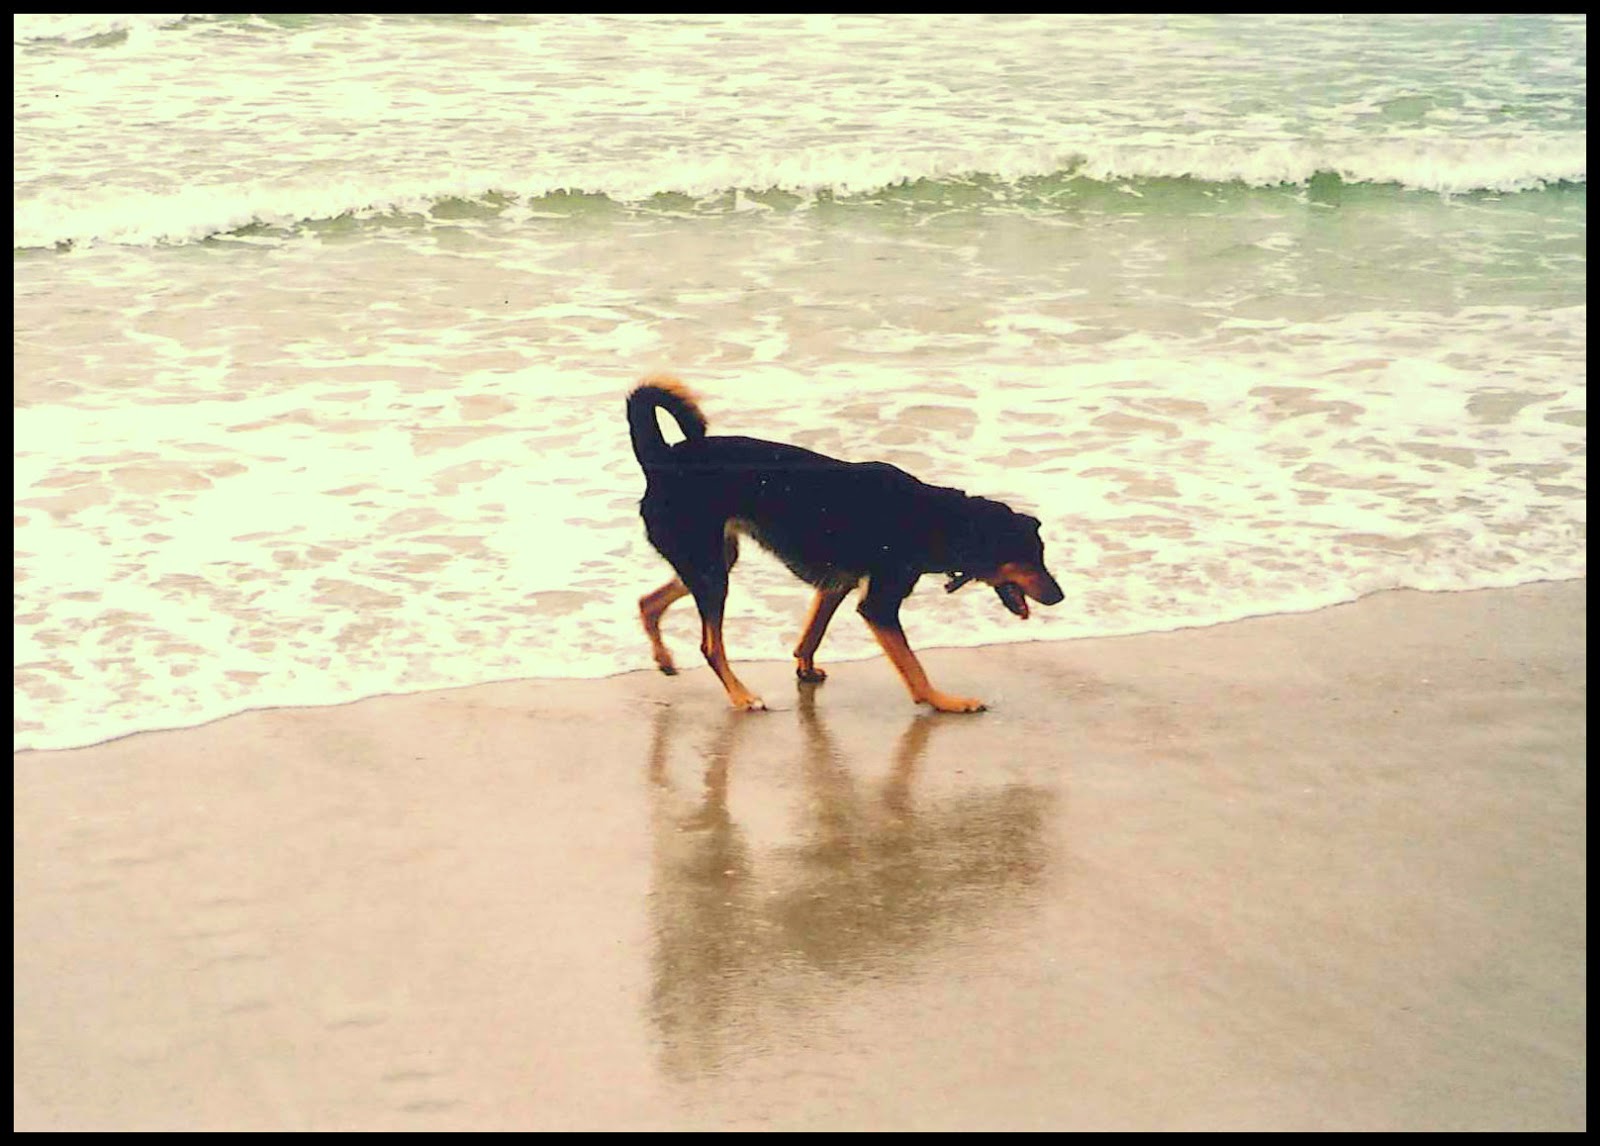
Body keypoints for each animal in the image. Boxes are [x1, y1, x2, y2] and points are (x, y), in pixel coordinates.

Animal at [628, 376, 1063, 713]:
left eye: (1041, 556)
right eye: (1029, 558)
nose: (1059, 596)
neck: (938, 519)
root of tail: (660, 459)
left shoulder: (837, 583)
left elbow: (813, 632)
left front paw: (804, 666)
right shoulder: (879, 604)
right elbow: (914, 668)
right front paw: (944, 702)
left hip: (714, 558)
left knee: (648, 602)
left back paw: (664, 659)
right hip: (709, 568)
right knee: (709, 645)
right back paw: (742, 697)